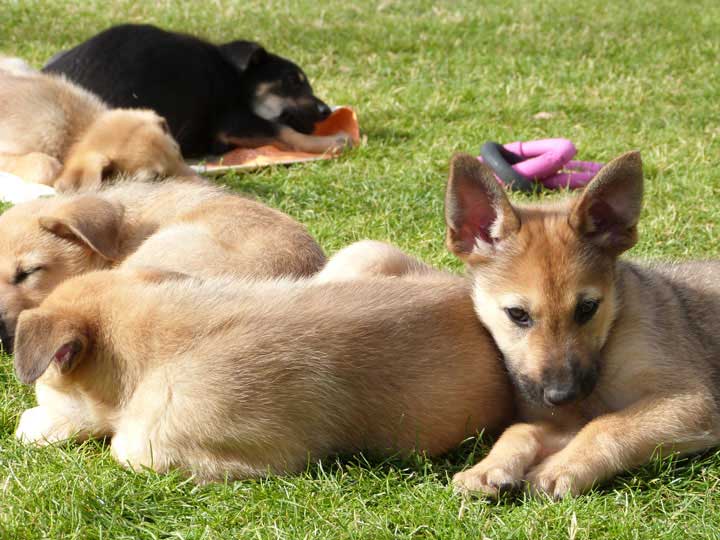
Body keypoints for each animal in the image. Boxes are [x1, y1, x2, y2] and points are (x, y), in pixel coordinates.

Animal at [43, 24, 352, 158]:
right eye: (293, 80)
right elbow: (285, 131)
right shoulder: (233, 120)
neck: (235, 78)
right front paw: (334, 142)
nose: (326, 111)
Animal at [444, 152, 720, 498]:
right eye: (517, 314)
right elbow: (522, 429)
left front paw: (560, 468)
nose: (563, 395)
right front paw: (488, 467)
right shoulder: (567, 420)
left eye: (588, 308)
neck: (610, 339)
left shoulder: (692, 400)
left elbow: (608, 425)